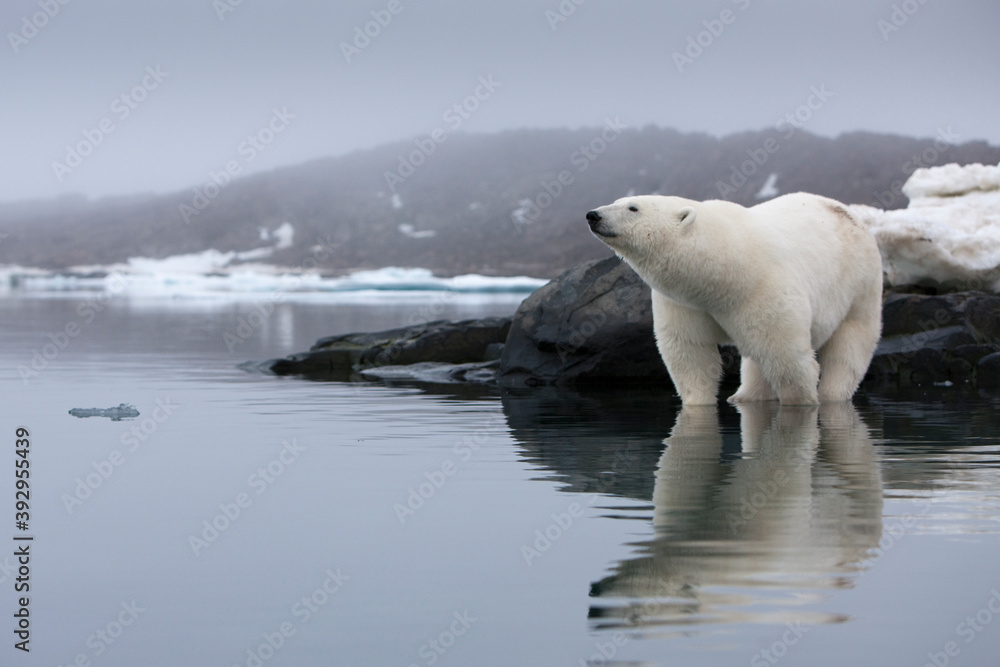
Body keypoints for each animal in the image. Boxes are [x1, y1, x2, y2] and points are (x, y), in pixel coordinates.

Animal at [585, 193, 883, 405]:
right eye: (617, 201)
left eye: (633, 208)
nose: (593, 215)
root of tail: (850, 213)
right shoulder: (684, 302)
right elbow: (690, 354)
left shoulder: (764, 288)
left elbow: (787, 358)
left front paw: (803, 402)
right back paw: (743, 396)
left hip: (860, 286)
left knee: (849, 347)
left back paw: (832, 394)